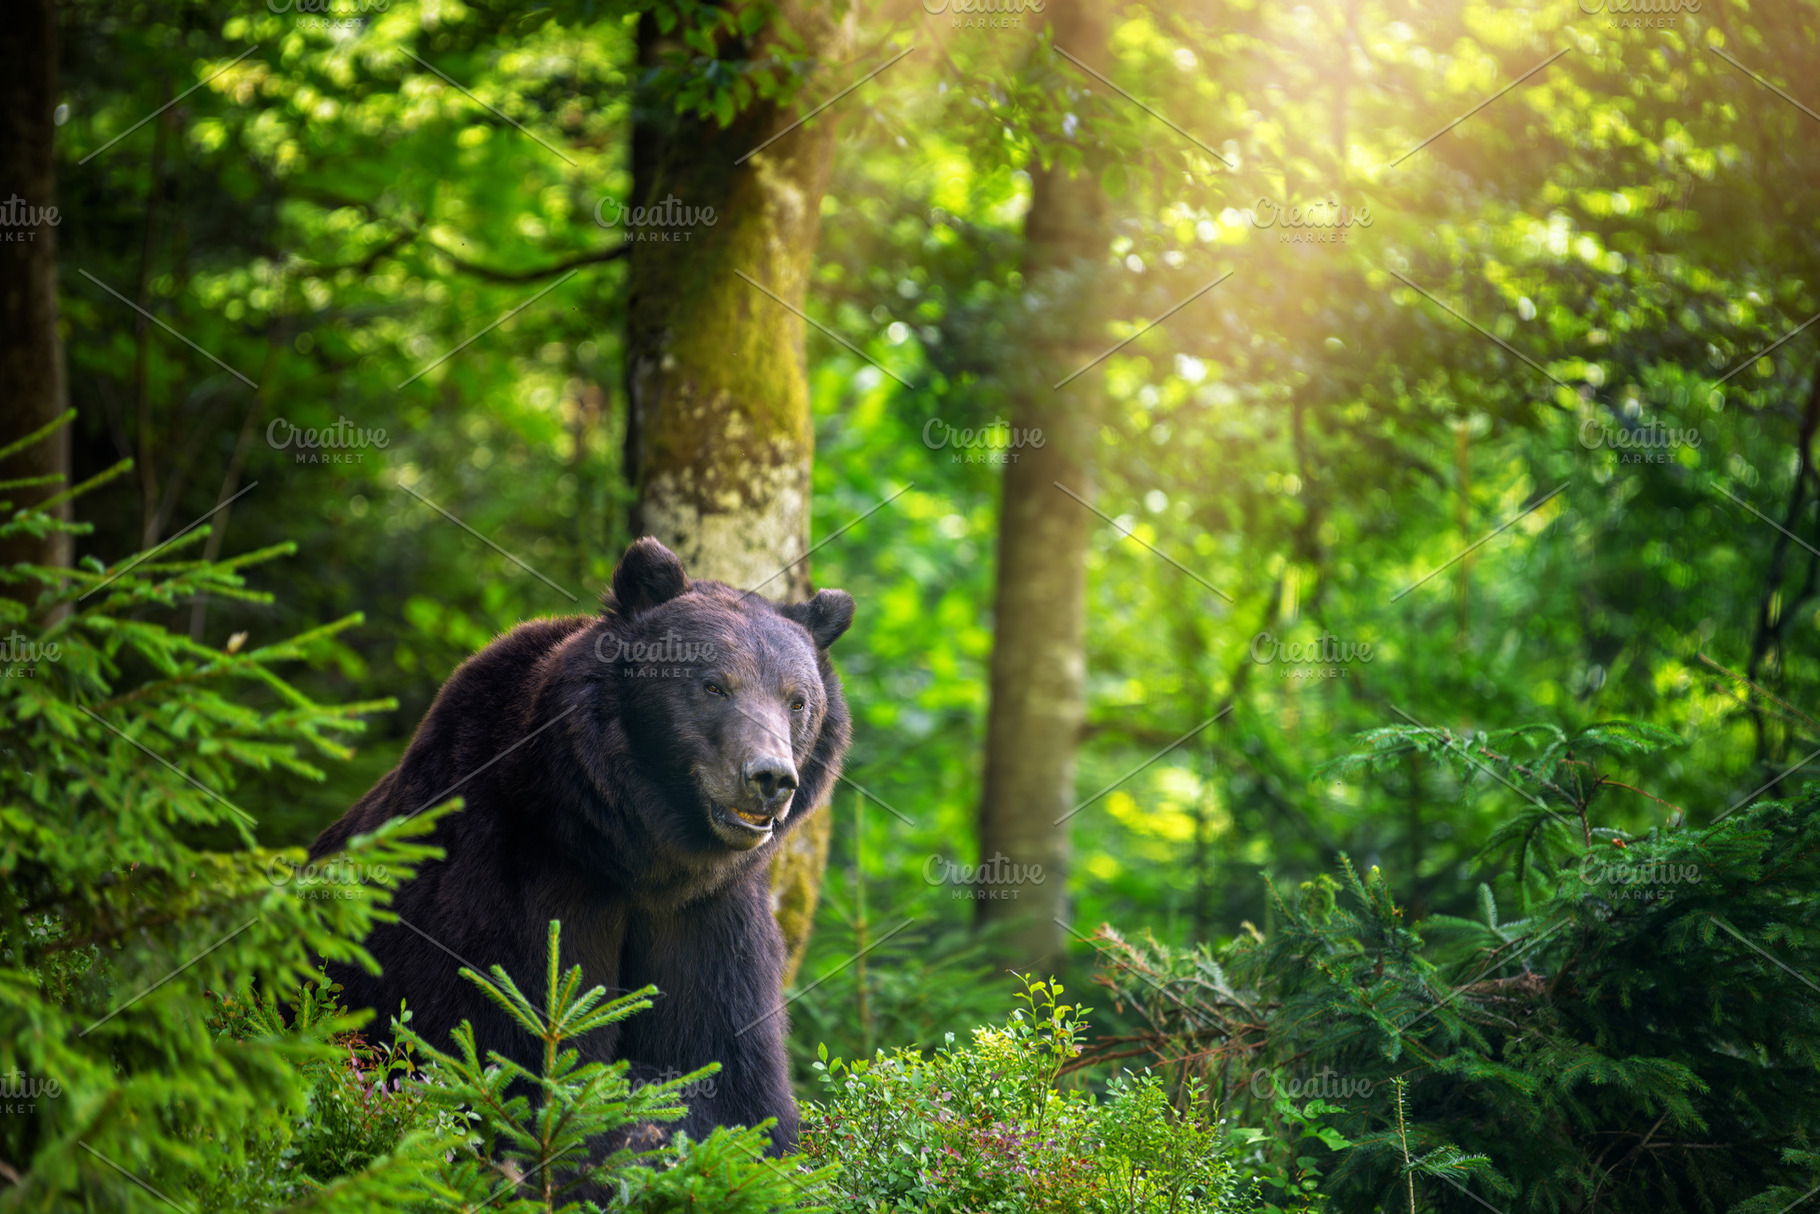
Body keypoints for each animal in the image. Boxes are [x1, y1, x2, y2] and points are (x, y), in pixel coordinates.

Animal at [307, 536, 854, 1155]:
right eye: (715, 685)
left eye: (798, 700)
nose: (770, 777)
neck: (632, 852)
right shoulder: (515, 889)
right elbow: (530, 1066)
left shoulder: (708, 918)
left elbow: (732, 1080)